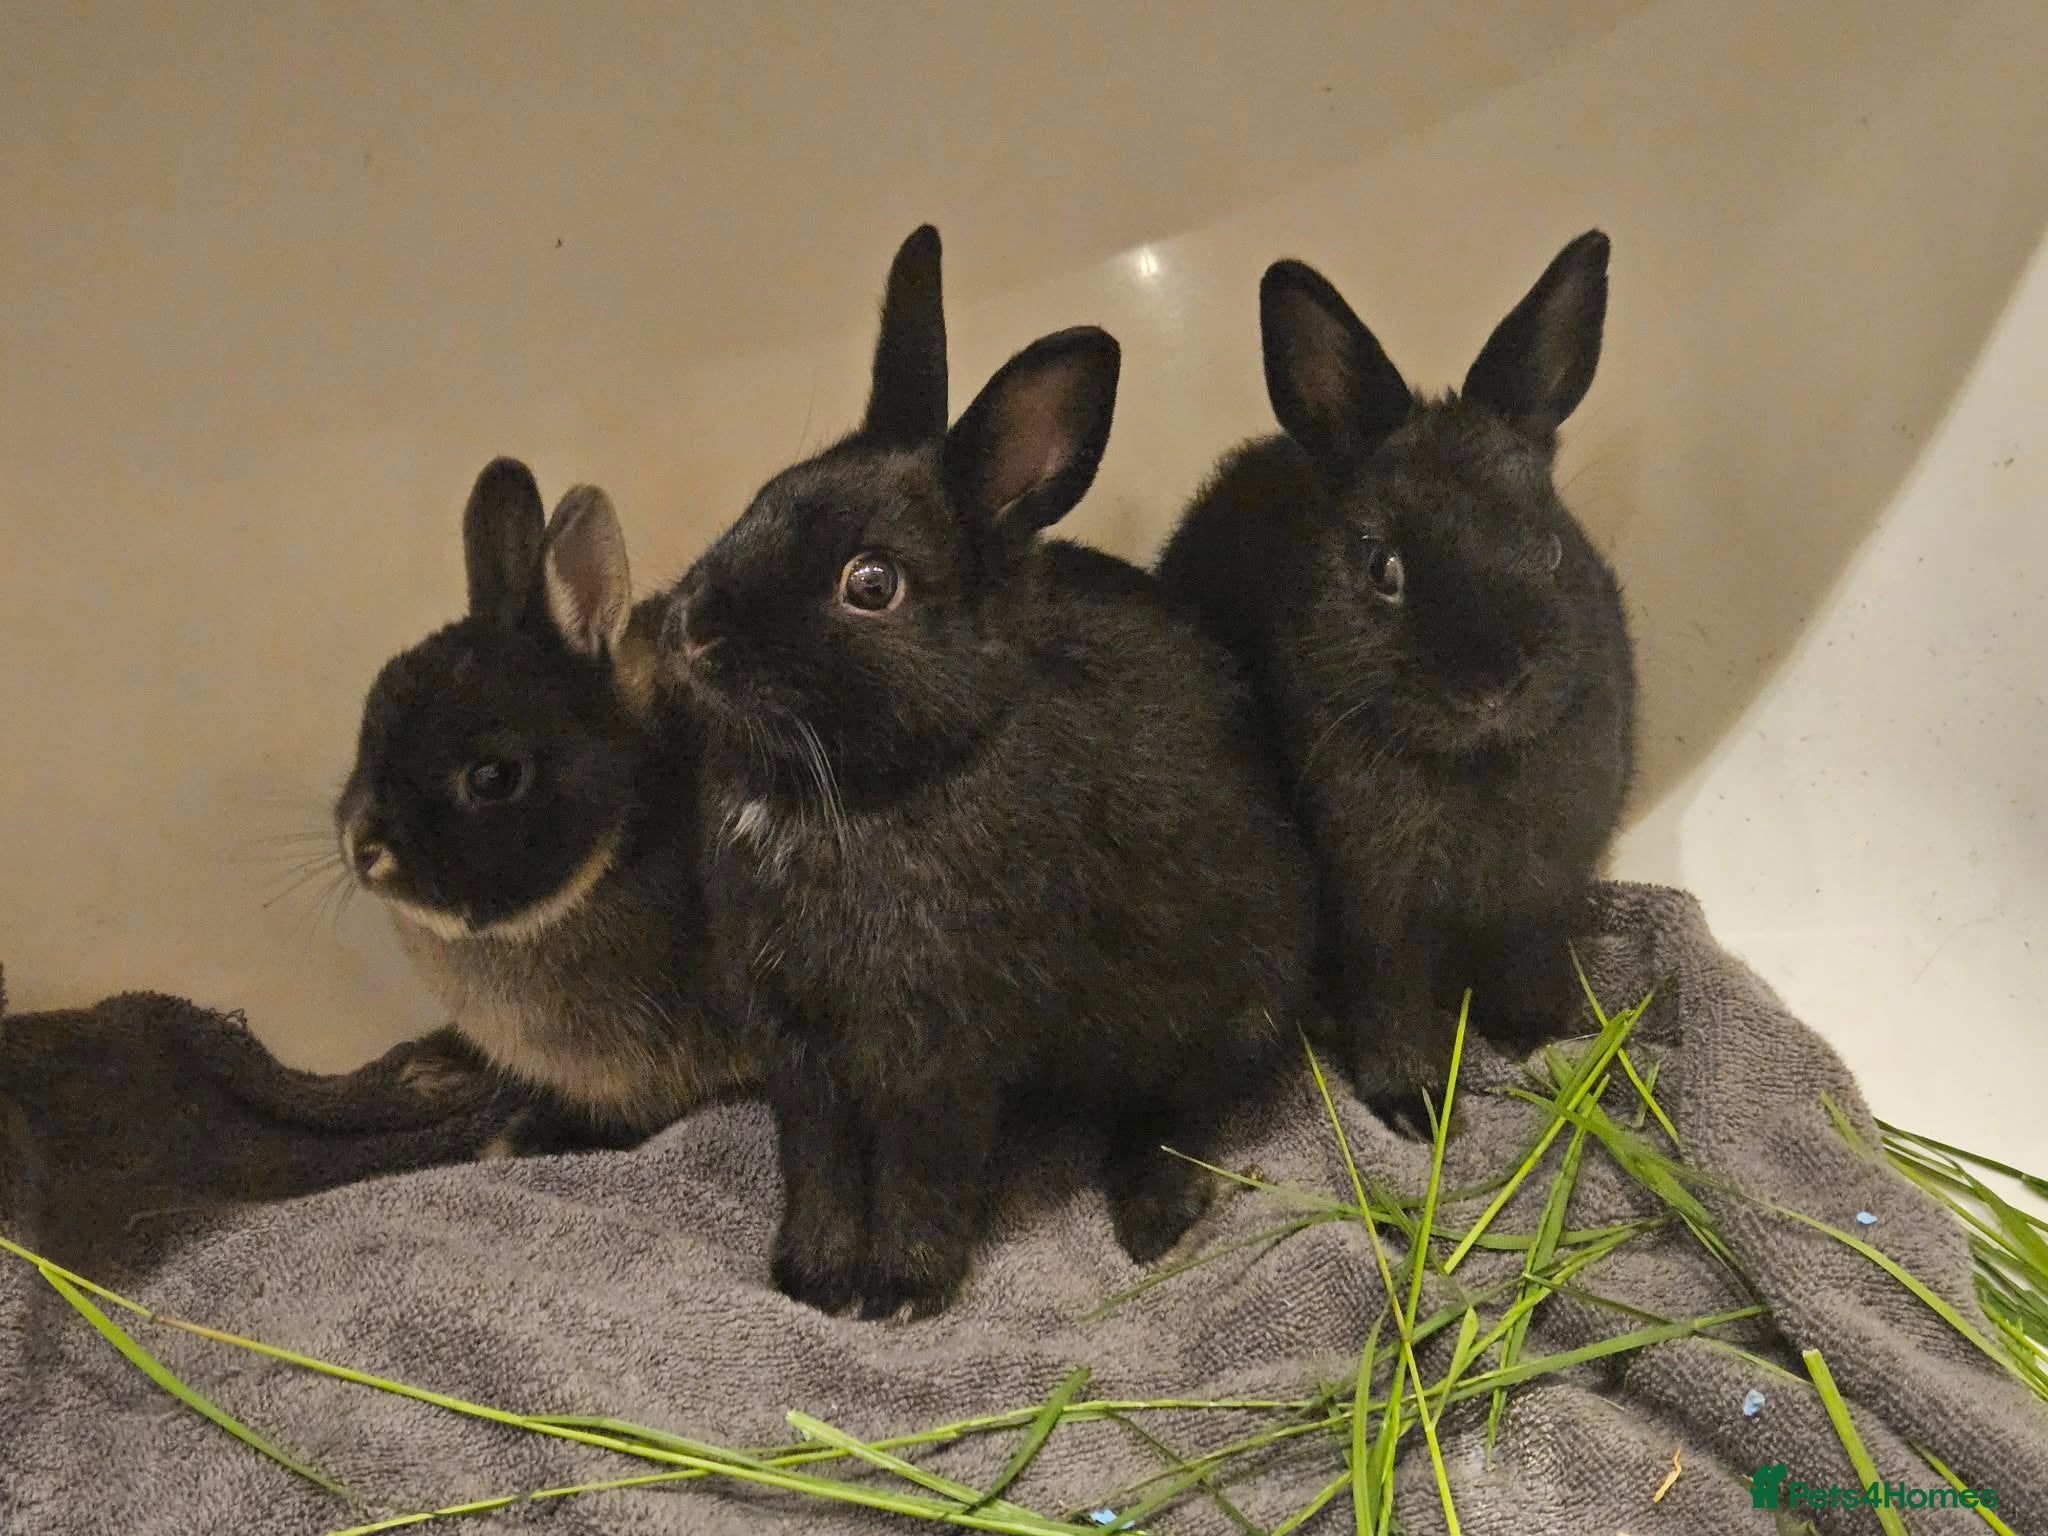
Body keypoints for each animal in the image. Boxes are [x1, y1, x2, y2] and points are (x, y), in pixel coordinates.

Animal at [660, 225, 1319, 1318]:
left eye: (871, 584)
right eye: (764, 495)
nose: (691, 629)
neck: (879, 780)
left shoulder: (935, 1050)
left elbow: (921, 1168)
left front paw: (899, 1291)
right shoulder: (798, 1050)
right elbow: (818, 1164)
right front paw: (810, 1281)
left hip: (1219, 1012)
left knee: (1178, 1111)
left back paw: (1151, 1217)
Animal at [1155, 230, 1636, 1132]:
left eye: (1554, 550)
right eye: (1384, 569)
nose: (1492, 685)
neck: (1473, 766)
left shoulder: (1544, 893)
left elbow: (1530, 960)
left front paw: (1537, 1032)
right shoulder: (1377, 913)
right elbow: (1392, 1003)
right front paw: (1416, 1107)